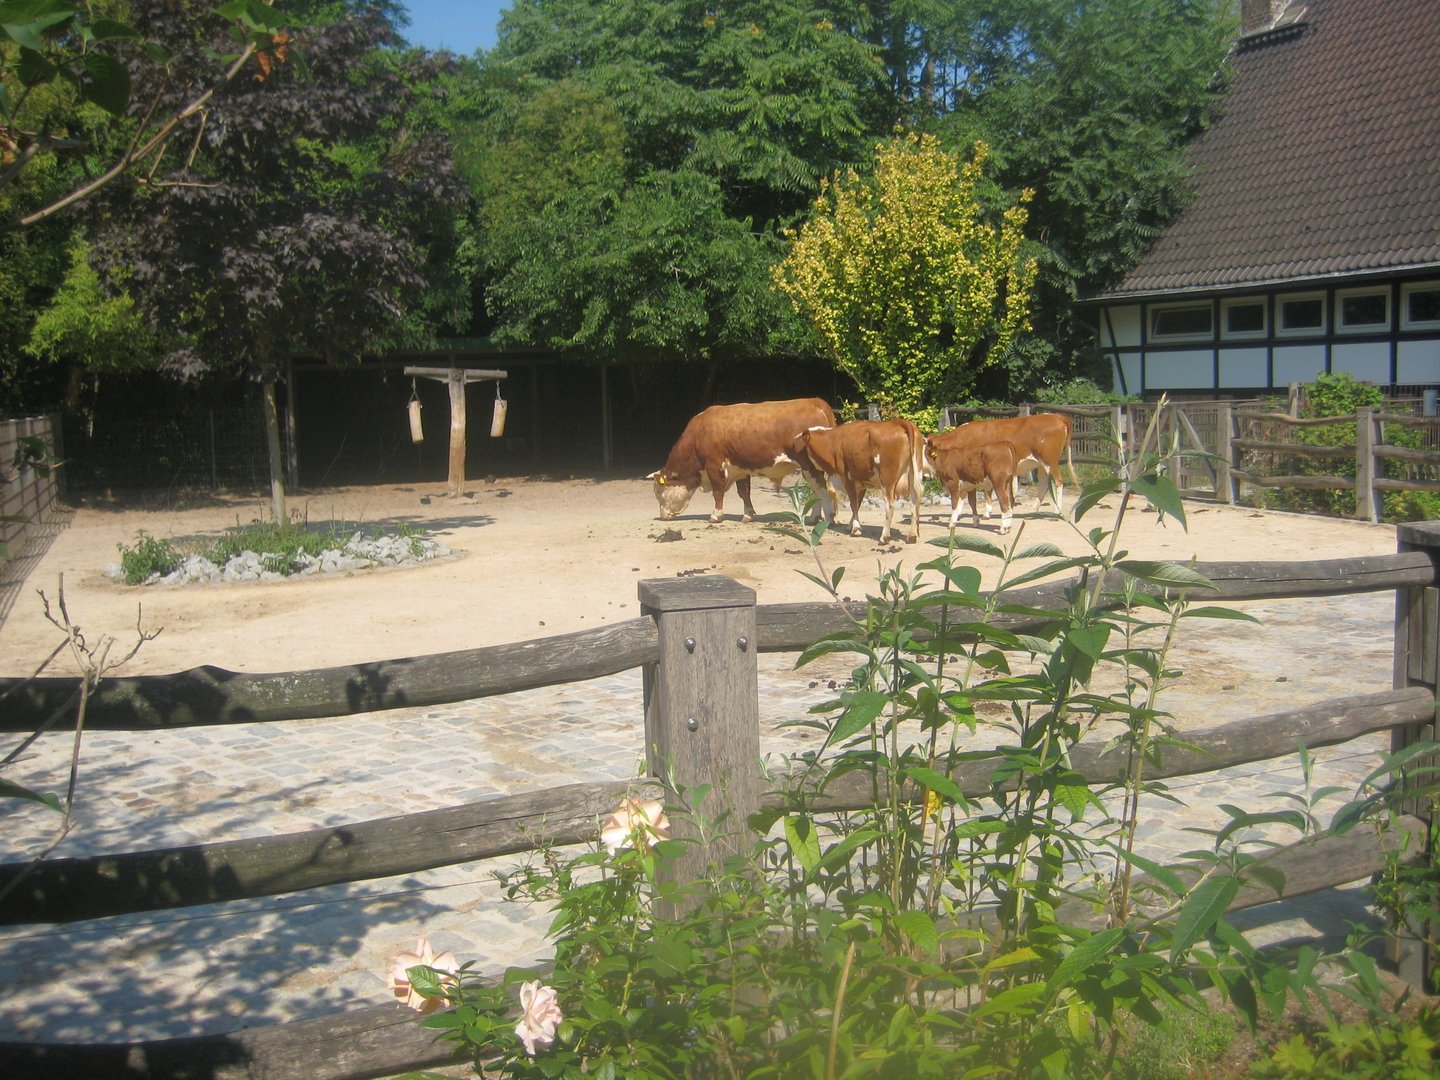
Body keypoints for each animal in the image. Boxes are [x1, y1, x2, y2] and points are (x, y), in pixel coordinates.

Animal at [649, 398, 837, 523]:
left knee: (820, 487)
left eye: (658, 491)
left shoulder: (714, 466)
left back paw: (827, 517)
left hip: (808, 465)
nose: (662, 516)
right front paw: (748, 514)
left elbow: (718, 492)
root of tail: (815, 401)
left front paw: (716, 515)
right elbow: (744, 492)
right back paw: (814, 518)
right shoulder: (740, 468)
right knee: (816, 489)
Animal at [789, 418, 925, 544]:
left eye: (796, 446)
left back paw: (884, 537)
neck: (833, 442)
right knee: (915, 501)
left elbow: (853, 503)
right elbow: (858, 504)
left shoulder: (846, 478)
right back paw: (912, 535)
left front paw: (855, 529)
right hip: (914, 475)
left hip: (887, 480)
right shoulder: (861, 482)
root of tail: (898, 422)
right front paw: (851, 525)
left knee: (890, 505)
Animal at [925, 413, 1075, 515]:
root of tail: (1055, 416)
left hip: (1050, 461)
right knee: (1044, 484)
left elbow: (986, 489)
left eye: (925, 452)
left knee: (1058, 481)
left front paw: (987, 512)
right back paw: (1034, 509)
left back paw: (1057, 510)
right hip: (1041, 464)